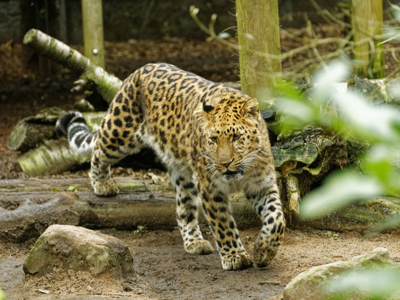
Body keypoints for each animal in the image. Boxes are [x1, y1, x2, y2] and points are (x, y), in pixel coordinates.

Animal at [57, 62, 286, 270]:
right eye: (213, 139)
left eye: (236, 137)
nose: (224, 164)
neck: (244, 170)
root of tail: (140, 69)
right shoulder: (211, 188)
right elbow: (223, 224)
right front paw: (235, 256)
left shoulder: (261, 186)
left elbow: (277, 219)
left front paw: (263, 251)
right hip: (119, 132)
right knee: (98, 148)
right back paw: (102, 183)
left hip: (182, 172)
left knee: (184, 209)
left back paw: (194, 242)